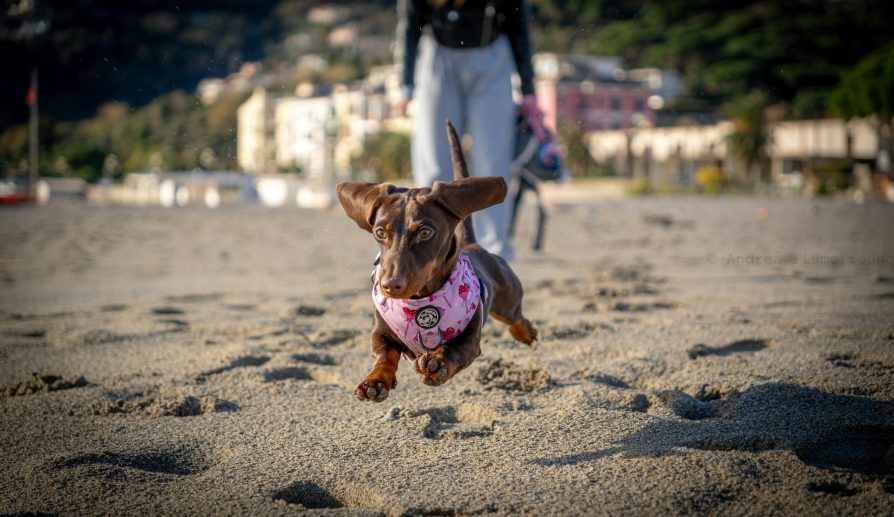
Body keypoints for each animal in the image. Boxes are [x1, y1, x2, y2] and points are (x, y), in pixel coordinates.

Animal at [336, 120, 537, 402]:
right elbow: (383, 355)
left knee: (517, 319)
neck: (421, 302)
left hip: (507, 301)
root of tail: (473, 244)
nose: (390, 286)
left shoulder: (470, 341)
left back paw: (527, 333)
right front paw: (374, 381)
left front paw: (437, 363)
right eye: (379, 232)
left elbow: (454, 350)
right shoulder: (380, 333)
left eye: (425, 232)